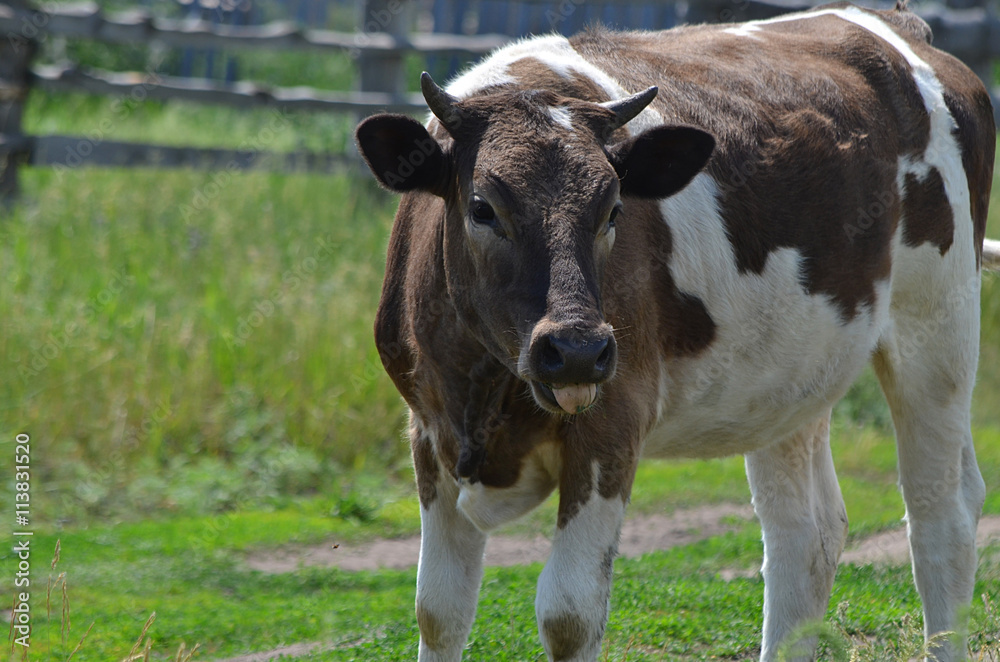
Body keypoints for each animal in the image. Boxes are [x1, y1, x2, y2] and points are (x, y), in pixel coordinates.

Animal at [356, 2, 996, 660]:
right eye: (483, 208)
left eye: (614, 209)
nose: (577, 351)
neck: (484, 389)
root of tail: (894, 23)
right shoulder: (429, 428)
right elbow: (439, 609)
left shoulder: (613, 422)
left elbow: (568, 613)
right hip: (792, 374)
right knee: (805, 536)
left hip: (937, 329)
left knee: (941, 515)